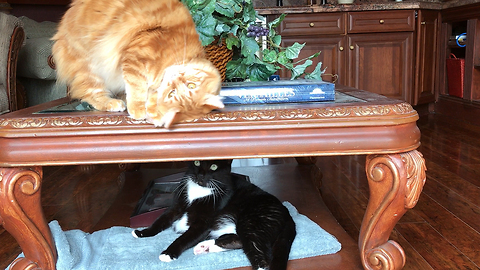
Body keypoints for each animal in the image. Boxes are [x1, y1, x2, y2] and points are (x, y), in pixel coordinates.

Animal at [51, 0, 224, 127]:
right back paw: (113, 103)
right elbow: (136, 89)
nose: (174, 85)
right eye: (191, 85)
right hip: (89, 65)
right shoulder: (136, 57)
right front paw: (138, 110)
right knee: (92, 94)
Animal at [132, 159, 296, 268]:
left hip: (252, 221)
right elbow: (161, 220)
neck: (200, 190)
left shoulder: (204, 223)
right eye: (197, 162)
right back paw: (205, 247)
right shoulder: (176, 206)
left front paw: (168, 253)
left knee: (260, 255)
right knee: (239, 240)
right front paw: (142, 233)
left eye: (214, 166)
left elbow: (185, 238)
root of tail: (286, 212)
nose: (201, 175)